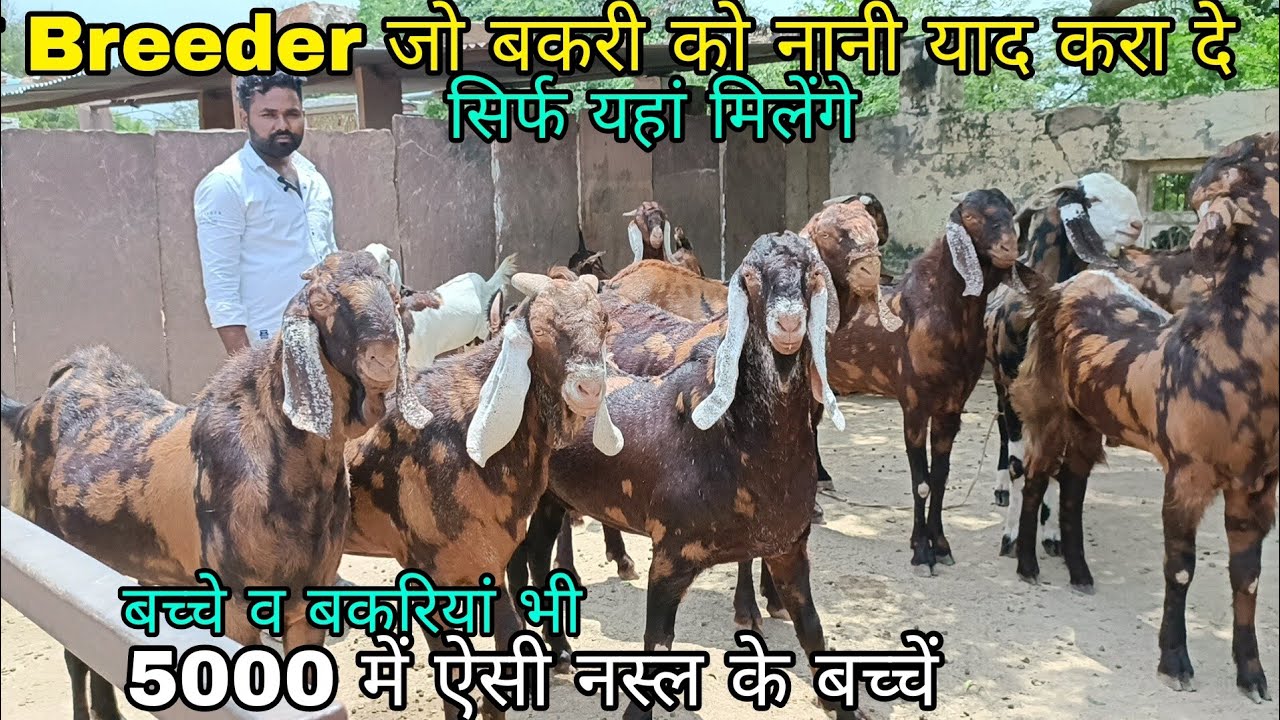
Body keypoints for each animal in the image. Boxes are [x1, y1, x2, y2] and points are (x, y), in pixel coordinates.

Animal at [0, 250, 437, 720]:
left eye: (394, 295)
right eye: (320, 301)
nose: (382, 357)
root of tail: (32, 407)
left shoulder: (306, 599)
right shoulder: (234, 606)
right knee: (74, 656)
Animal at [511, 231, 869, 720]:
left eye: (812, 275)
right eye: (750, 280)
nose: (789, 324)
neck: (727, 436)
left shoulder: (789, 548)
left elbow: (813, 632)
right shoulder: (671, 553)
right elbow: (656, 642)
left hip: (554, 496)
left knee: (534, 553)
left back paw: (559, 650)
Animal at [984, 173, 1144, 562]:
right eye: (1094, 199)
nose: (1136, 225)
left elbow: (1057, 467)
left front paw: (1052, 534)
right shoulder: (1012, 391)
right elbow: (1018, 464)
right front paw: (1012, 537)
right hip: (999, 387)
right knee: (1004, 437)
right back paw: (1002, 491)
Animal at [1007, 131, 1278, 701]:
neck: (1235, 355)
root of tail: (1059, 288)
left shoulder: (1259, 486)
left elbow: (1248, 578)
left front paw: (1252, 676)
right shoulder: (1186, 473)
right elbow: (1180, 569)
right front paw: (1175, 662)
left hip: (1087, 420)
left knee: (1073, 485)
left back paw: (1080, 573)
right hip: (1047, 408)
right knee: (1038, 479)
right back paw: (1028, 565)